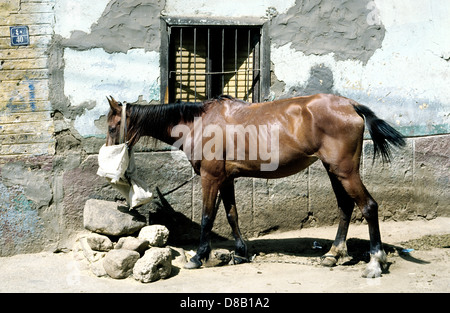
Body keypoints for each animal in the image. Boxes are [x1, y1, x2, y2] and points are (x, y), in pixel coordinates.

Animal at [105, 94, 404, 276]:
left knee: (368, 207)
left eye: (111, 127)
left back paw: (376, 262)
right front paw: (240, 253)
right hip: (334, 170)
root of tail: (351, 105)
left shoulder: (210, 178)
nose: (107, 158)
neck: (200, 122)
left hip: (345, 171)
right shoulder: (226, 179)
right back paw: (333, 254)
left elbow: (207, 217)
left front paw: (198, 256)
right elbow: (231, 214)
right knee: (345, 207)